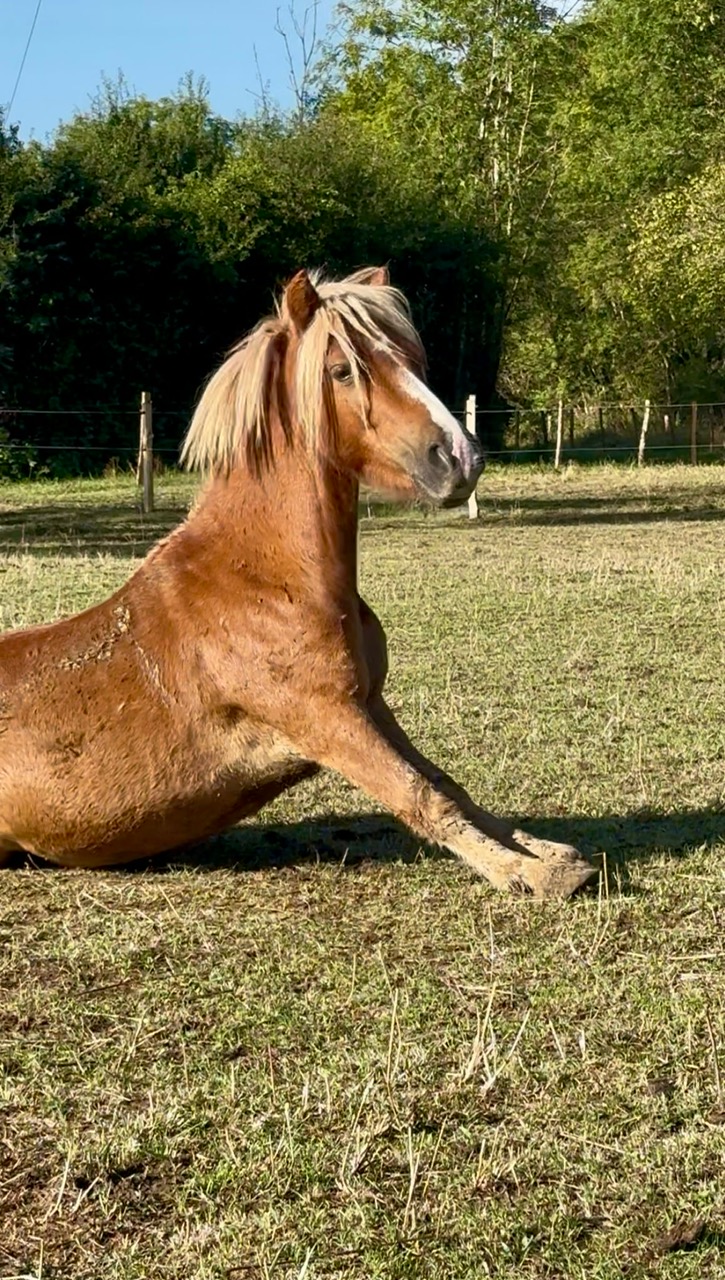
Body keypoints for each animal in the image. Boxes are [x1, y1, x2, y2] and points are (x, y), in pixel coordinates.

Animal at [0, 267, 598, 896]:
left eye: (411, 358)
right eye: (342, 370)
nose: (460, 459)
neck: (265, 580)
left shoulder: (370, 704)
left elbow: (448, 785)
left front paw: (550, 853)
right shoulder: (326, 719)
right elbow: (421, 798)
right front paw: (529, 873)